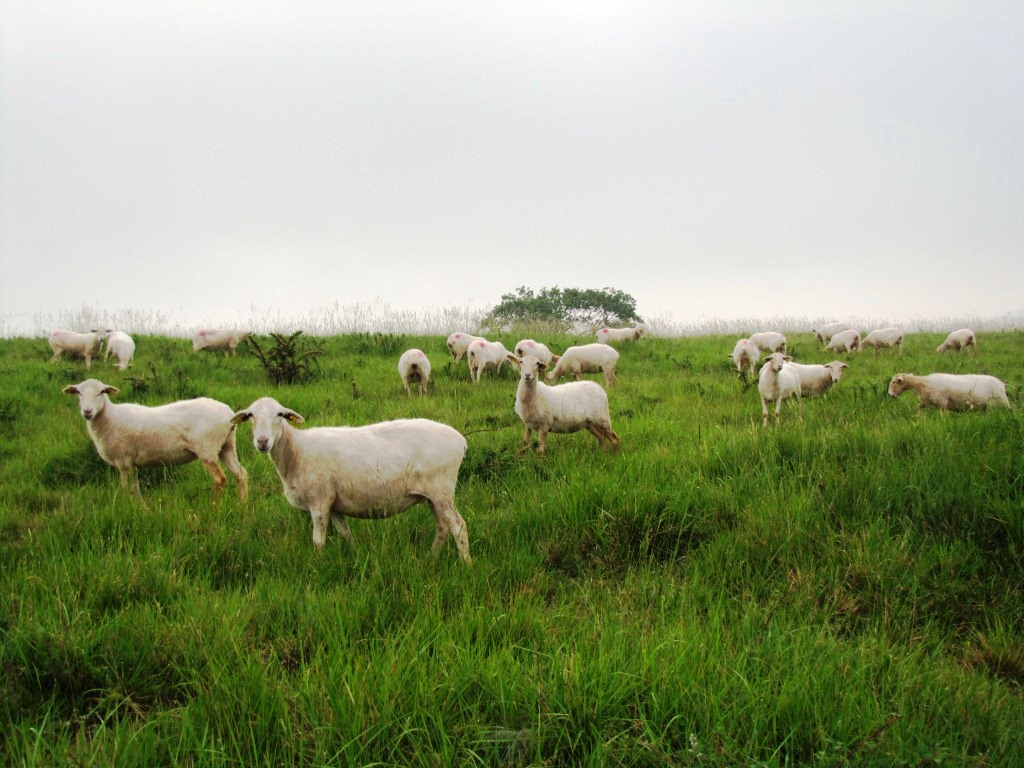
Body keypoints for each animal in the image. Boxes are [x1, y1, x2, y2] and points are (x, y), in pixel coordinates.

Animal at [63, 379, 248, 502]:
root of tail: (229, 414)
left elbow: (127, 487)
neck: (109, 418)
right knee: (241, 474)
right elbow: (135, 486)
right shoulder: (131, 463)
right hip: (227, 446)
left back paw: (214, 508)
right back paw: (242, 505)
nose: (87, 411)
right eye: (78, 392)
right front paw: (141, 507)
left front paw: (129, 506)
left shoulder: (123, 460)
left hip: (206, 448)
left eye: (102, 392)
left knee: (220, 479)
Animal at [230, 397, 471, 561]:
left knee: (458, 526)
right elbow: (346, 534)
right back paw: (432, 557)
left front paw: (318, 564)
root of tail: (461, 440)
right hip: (433, 495)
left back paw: (465, 564)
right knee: (442, 526)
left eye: (279, 415)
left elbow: (318, 541)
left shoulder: (319, 501)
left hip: (441, 489)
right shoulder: (334, 504)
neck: (296, 451)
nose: (263, 441)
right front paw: (354, 554)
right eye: (250, 416)